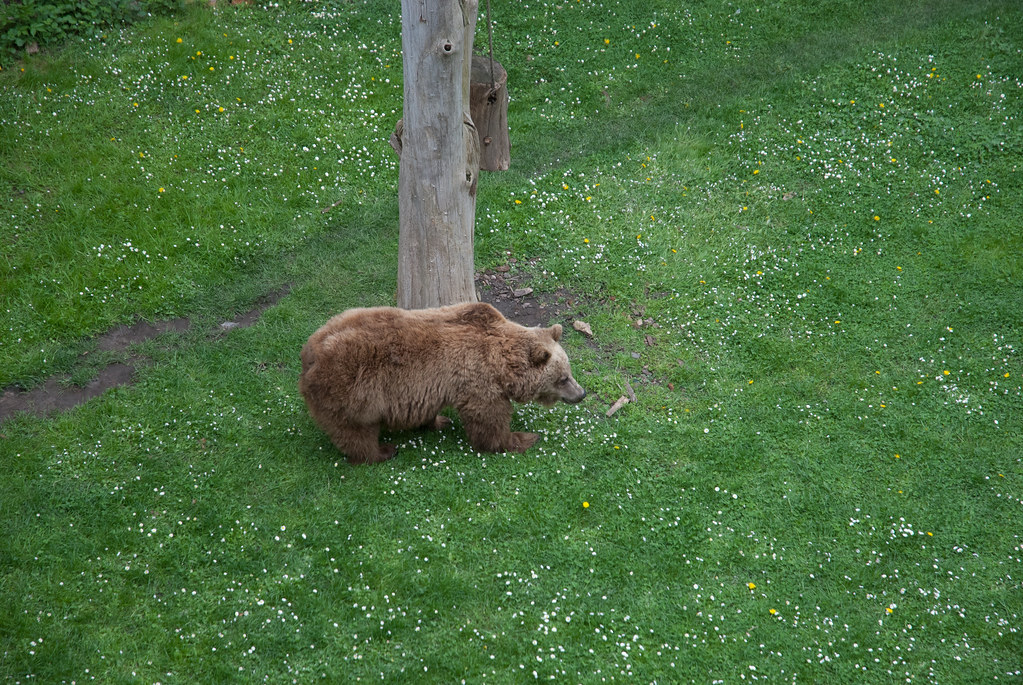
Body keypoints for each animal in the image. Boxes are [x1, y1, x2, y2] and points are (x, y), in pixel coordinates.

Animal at [298, 302, 586, 464]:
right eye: (563, 378)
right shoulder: (478, 380)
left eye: (569, 372)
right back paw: (383, 452)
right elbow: (489, 420)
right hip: (351, 392)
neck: (502, 364)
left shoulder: (430, 386)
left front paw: (438, 421)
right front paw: (522, 438)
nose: (581, 393)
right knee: (356, 433)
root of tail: (309, 355)